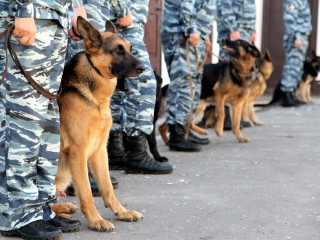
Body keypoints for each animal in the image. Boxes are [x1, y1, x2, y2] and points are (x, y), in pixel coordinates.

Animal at [51, 16, 144, 231]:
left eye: (130, 48)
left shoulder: (99, 150)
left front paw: (122, 212)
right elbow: (86, 192)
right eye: (118, 50)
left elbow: (107, 187)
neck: (95, 99)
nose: (143, 68)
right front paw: (96, 220)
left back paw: (63, 208)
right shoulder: (78, 152)